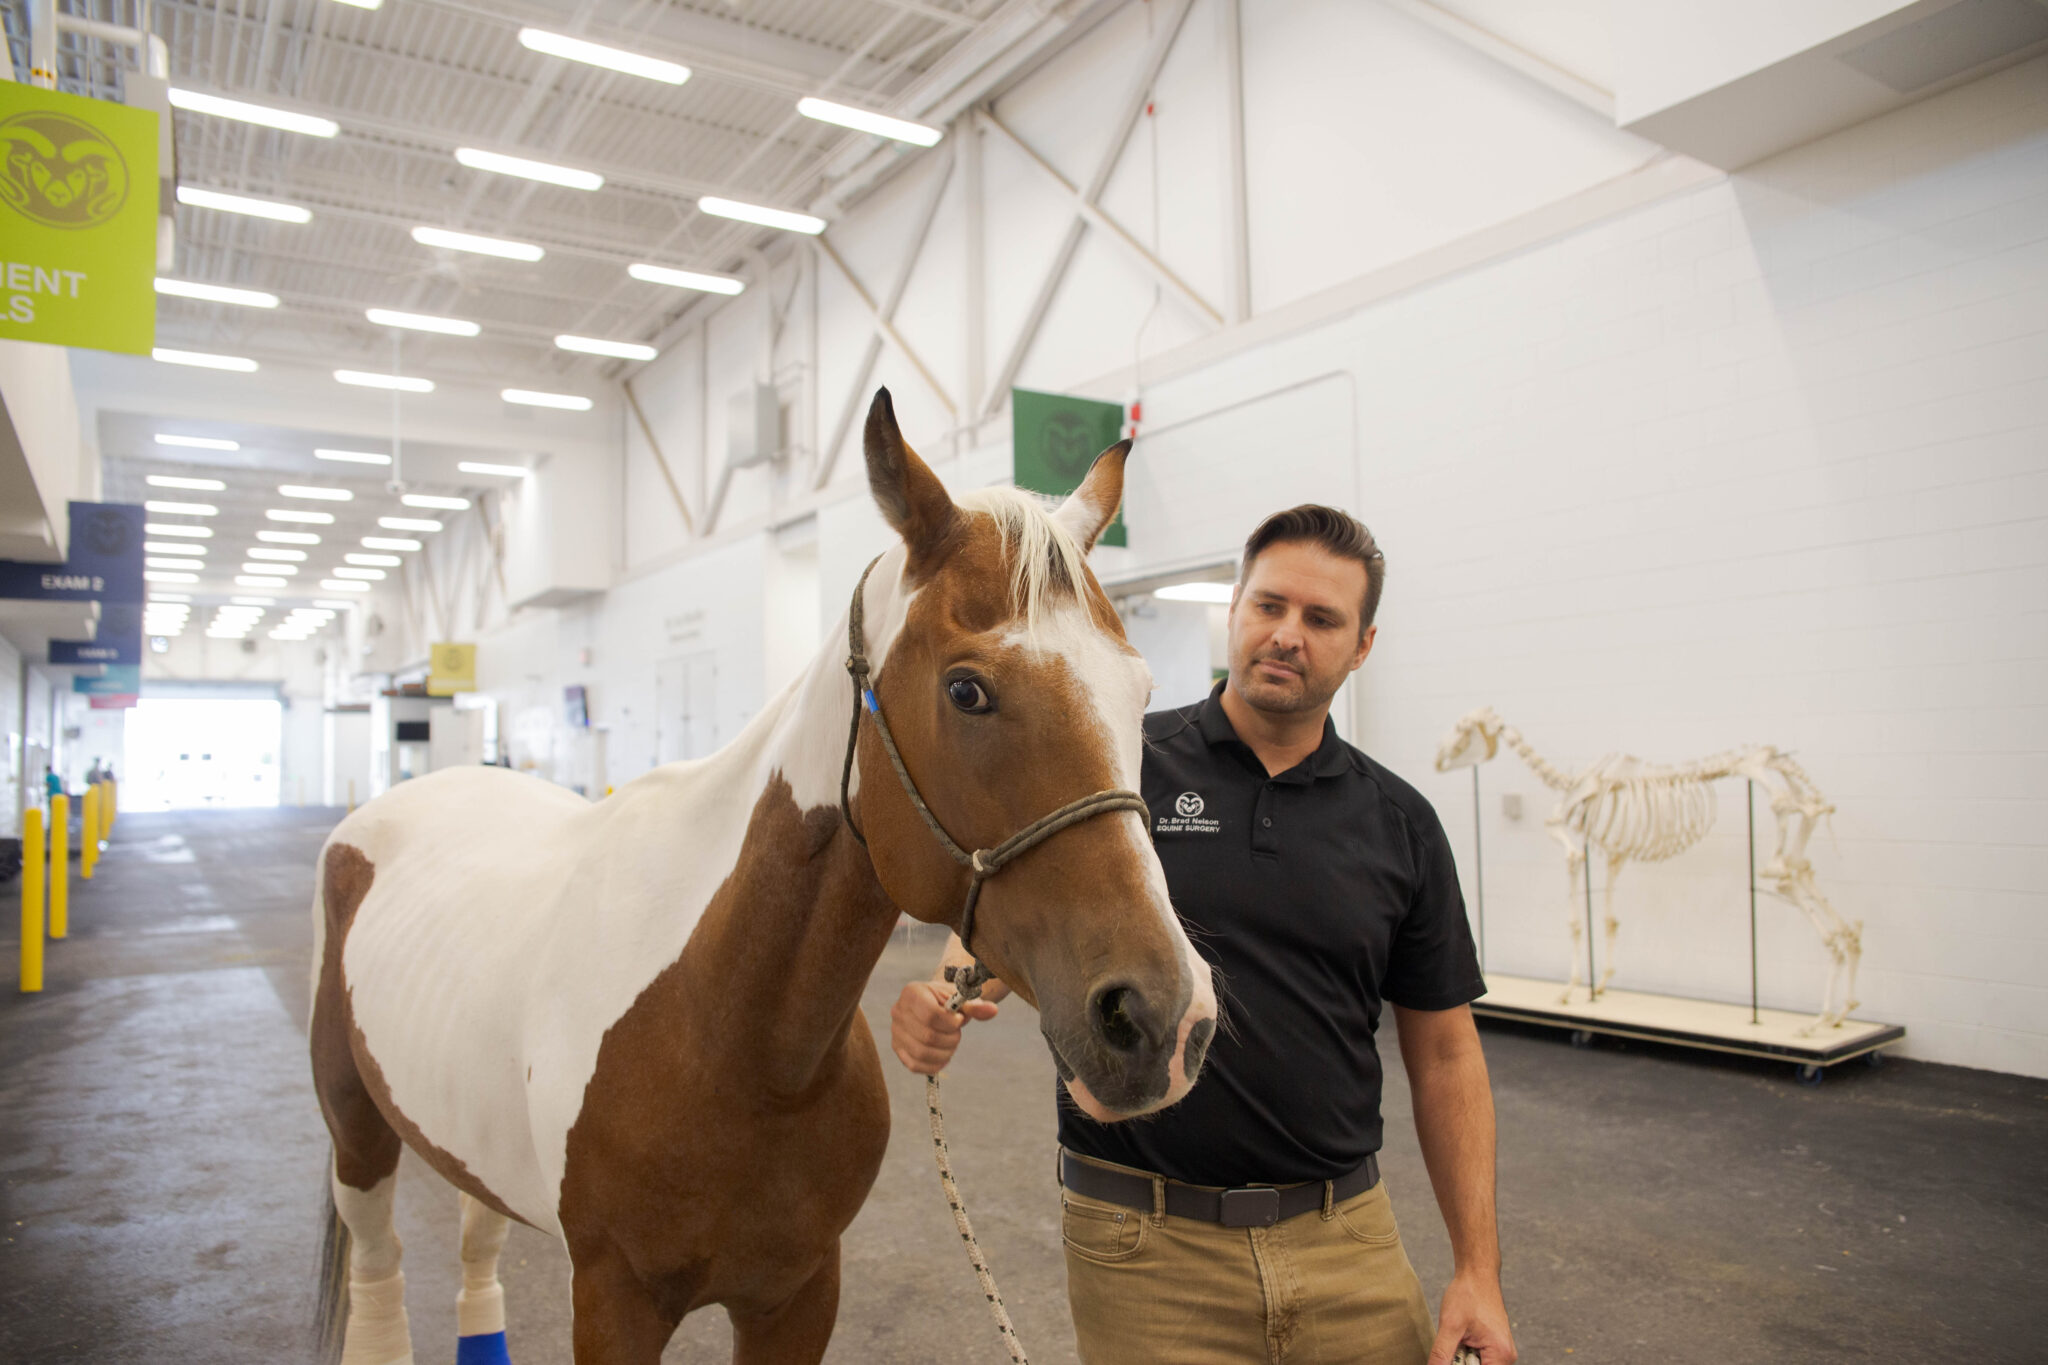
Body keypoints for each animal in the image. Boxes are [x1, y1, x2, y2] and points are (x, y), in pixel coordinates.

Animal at [309, 388, 1220, 1365]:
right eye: (966, 689)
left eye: (1140, 692)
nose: (1165, 1018)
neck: (731, 1031)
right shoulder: (611, 1299)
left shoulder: (798, 1291)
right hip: (357, 1132)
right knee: (381, 1266)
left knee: (476, 1243)